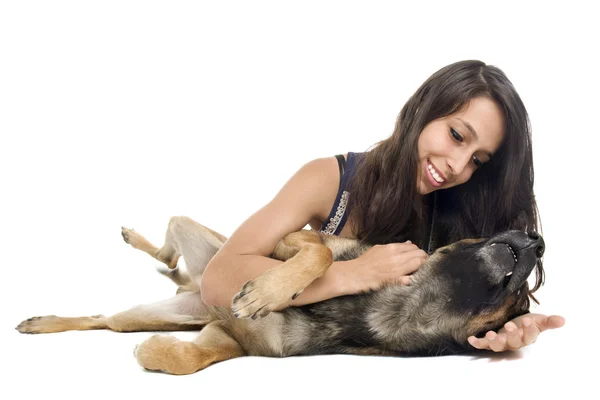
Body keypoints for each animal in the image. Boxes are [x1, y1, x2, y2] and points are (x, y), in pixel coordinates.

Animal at [16, 216, 548, 376]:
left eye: (522, 304)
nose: (537, 238)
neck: (397, 307)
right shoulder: (295, 238)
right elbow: (323, 254)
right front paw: (267, 292)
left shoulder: (228, 338)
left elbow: (194, 358)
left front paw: (156, 353)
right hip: (205, 239)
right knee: (166, 251)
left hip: (163, 312)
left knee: (104, 318)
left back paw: (45, 322)